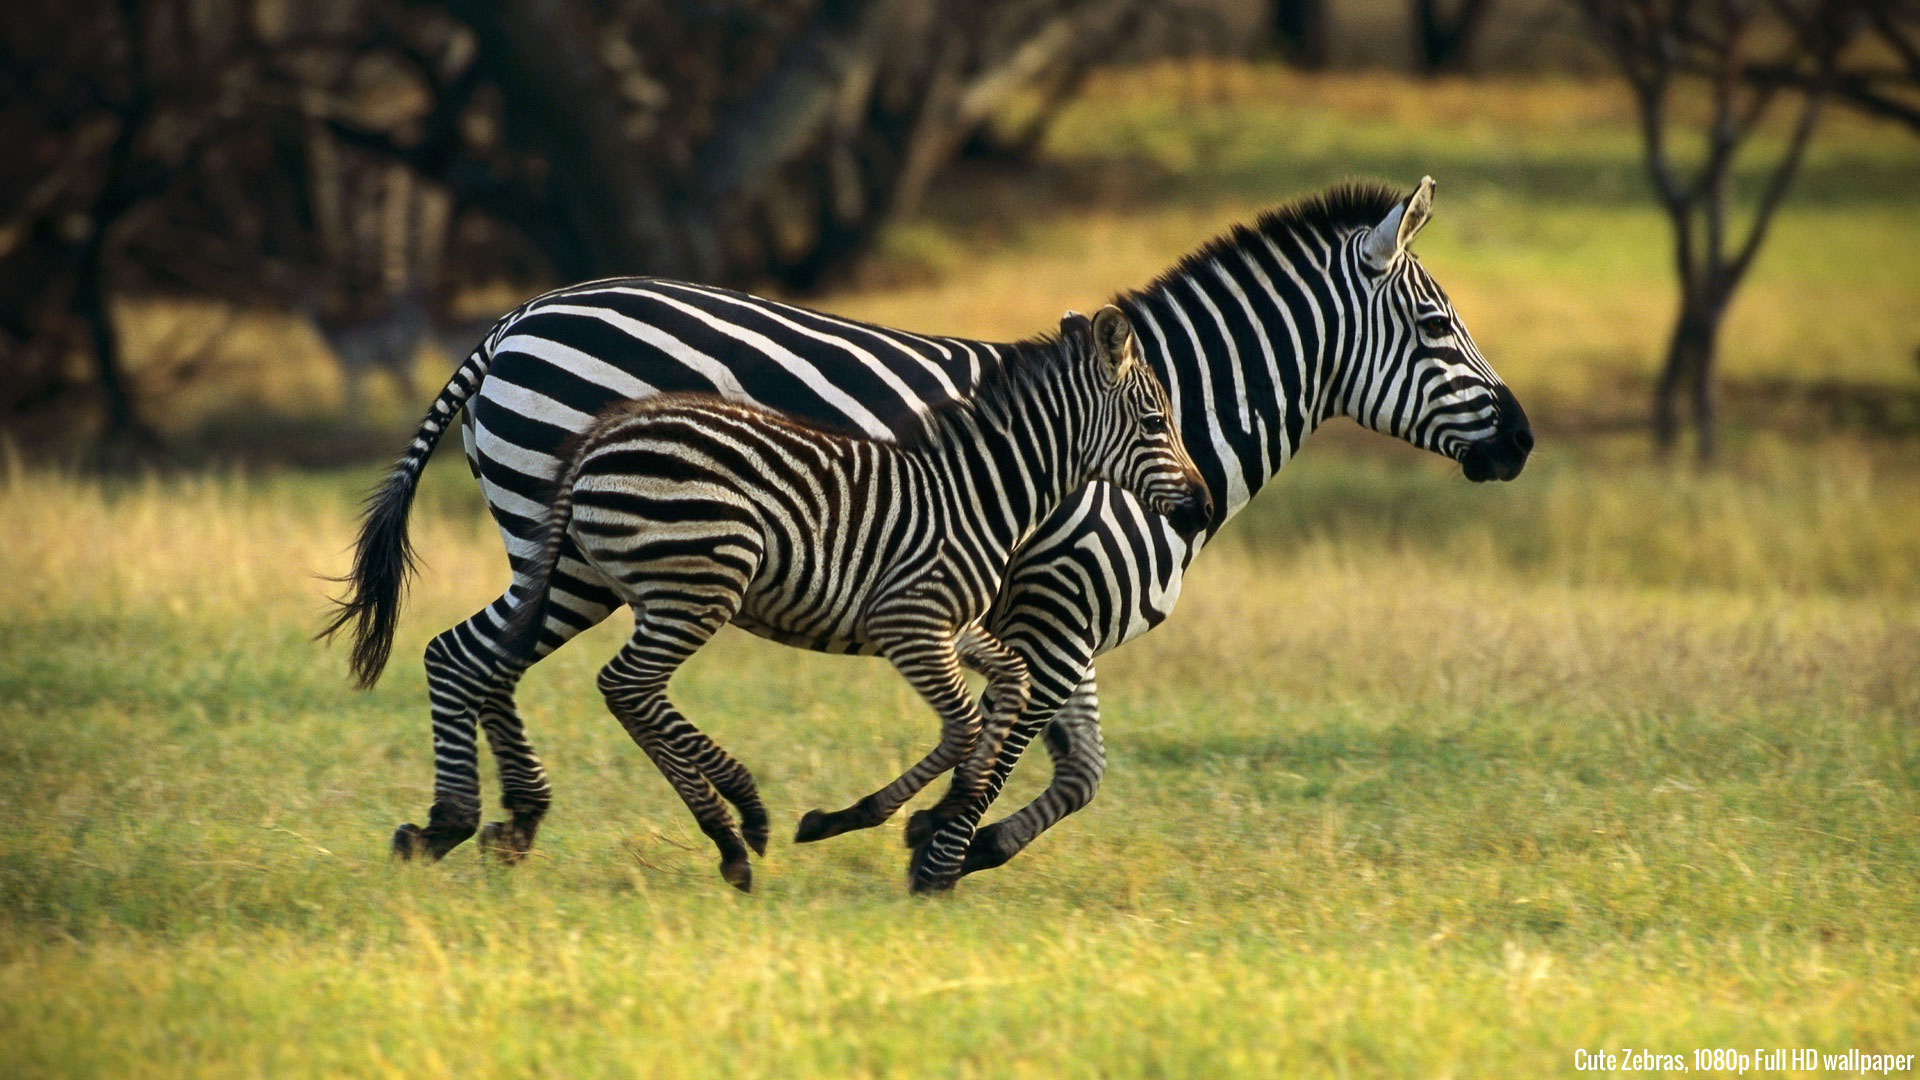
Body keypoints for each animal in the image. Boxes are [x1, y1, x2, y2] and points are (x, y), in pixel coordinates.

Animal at [480, 299, 1198, 883]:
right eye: (1155, 421)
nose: (1202, 503)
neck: (979, 494)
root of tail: (603, 434)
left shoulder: (954, 627)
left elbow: (1012, 685)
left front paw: (952, 807)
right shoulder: (907, 623)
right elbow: (964, 726)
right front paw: (876, 818)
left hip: (661, 588)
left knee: (616, 689)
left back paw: (728, 827)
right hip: (701, 581)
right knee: (625, 686)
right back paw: (738, 823)